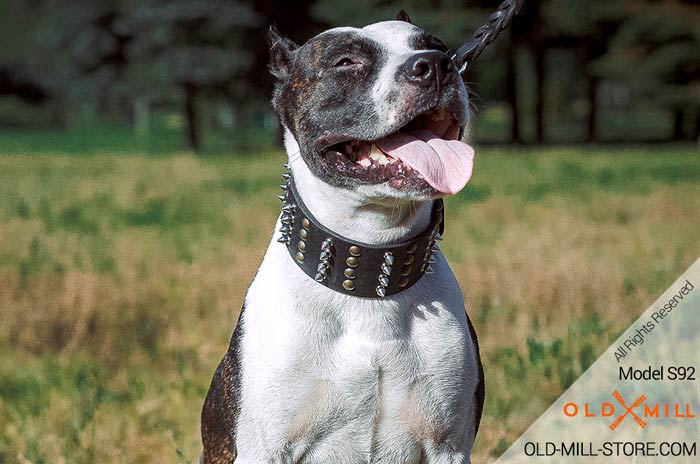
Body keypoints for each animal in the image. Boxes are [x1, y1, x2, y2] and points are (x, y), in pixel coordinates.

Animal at [201, 11, 482, 464]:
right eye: (345, 62)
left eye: (438, 46)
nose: (436, 65)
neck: (368, 263)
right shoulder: (265, 448)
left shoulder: (449, 446)